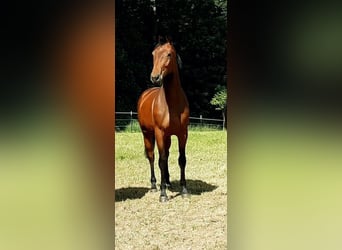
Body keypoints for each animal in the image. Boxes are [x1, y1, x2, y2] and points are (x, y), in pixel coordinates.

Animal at [136, 39, 190, 203]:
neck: (172, 105)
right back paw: (155, 185)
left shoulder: (182, 134)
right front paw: (163, 194)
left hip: (167, 138)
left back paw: (167, 182)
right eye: (153, 54)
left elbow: (181, 159)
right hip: (147, 134)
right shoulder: (159, 134)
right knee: (152, 157)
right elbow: (161, 160)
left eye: (168, 54)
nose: (155, 77)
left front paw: (184, 190)